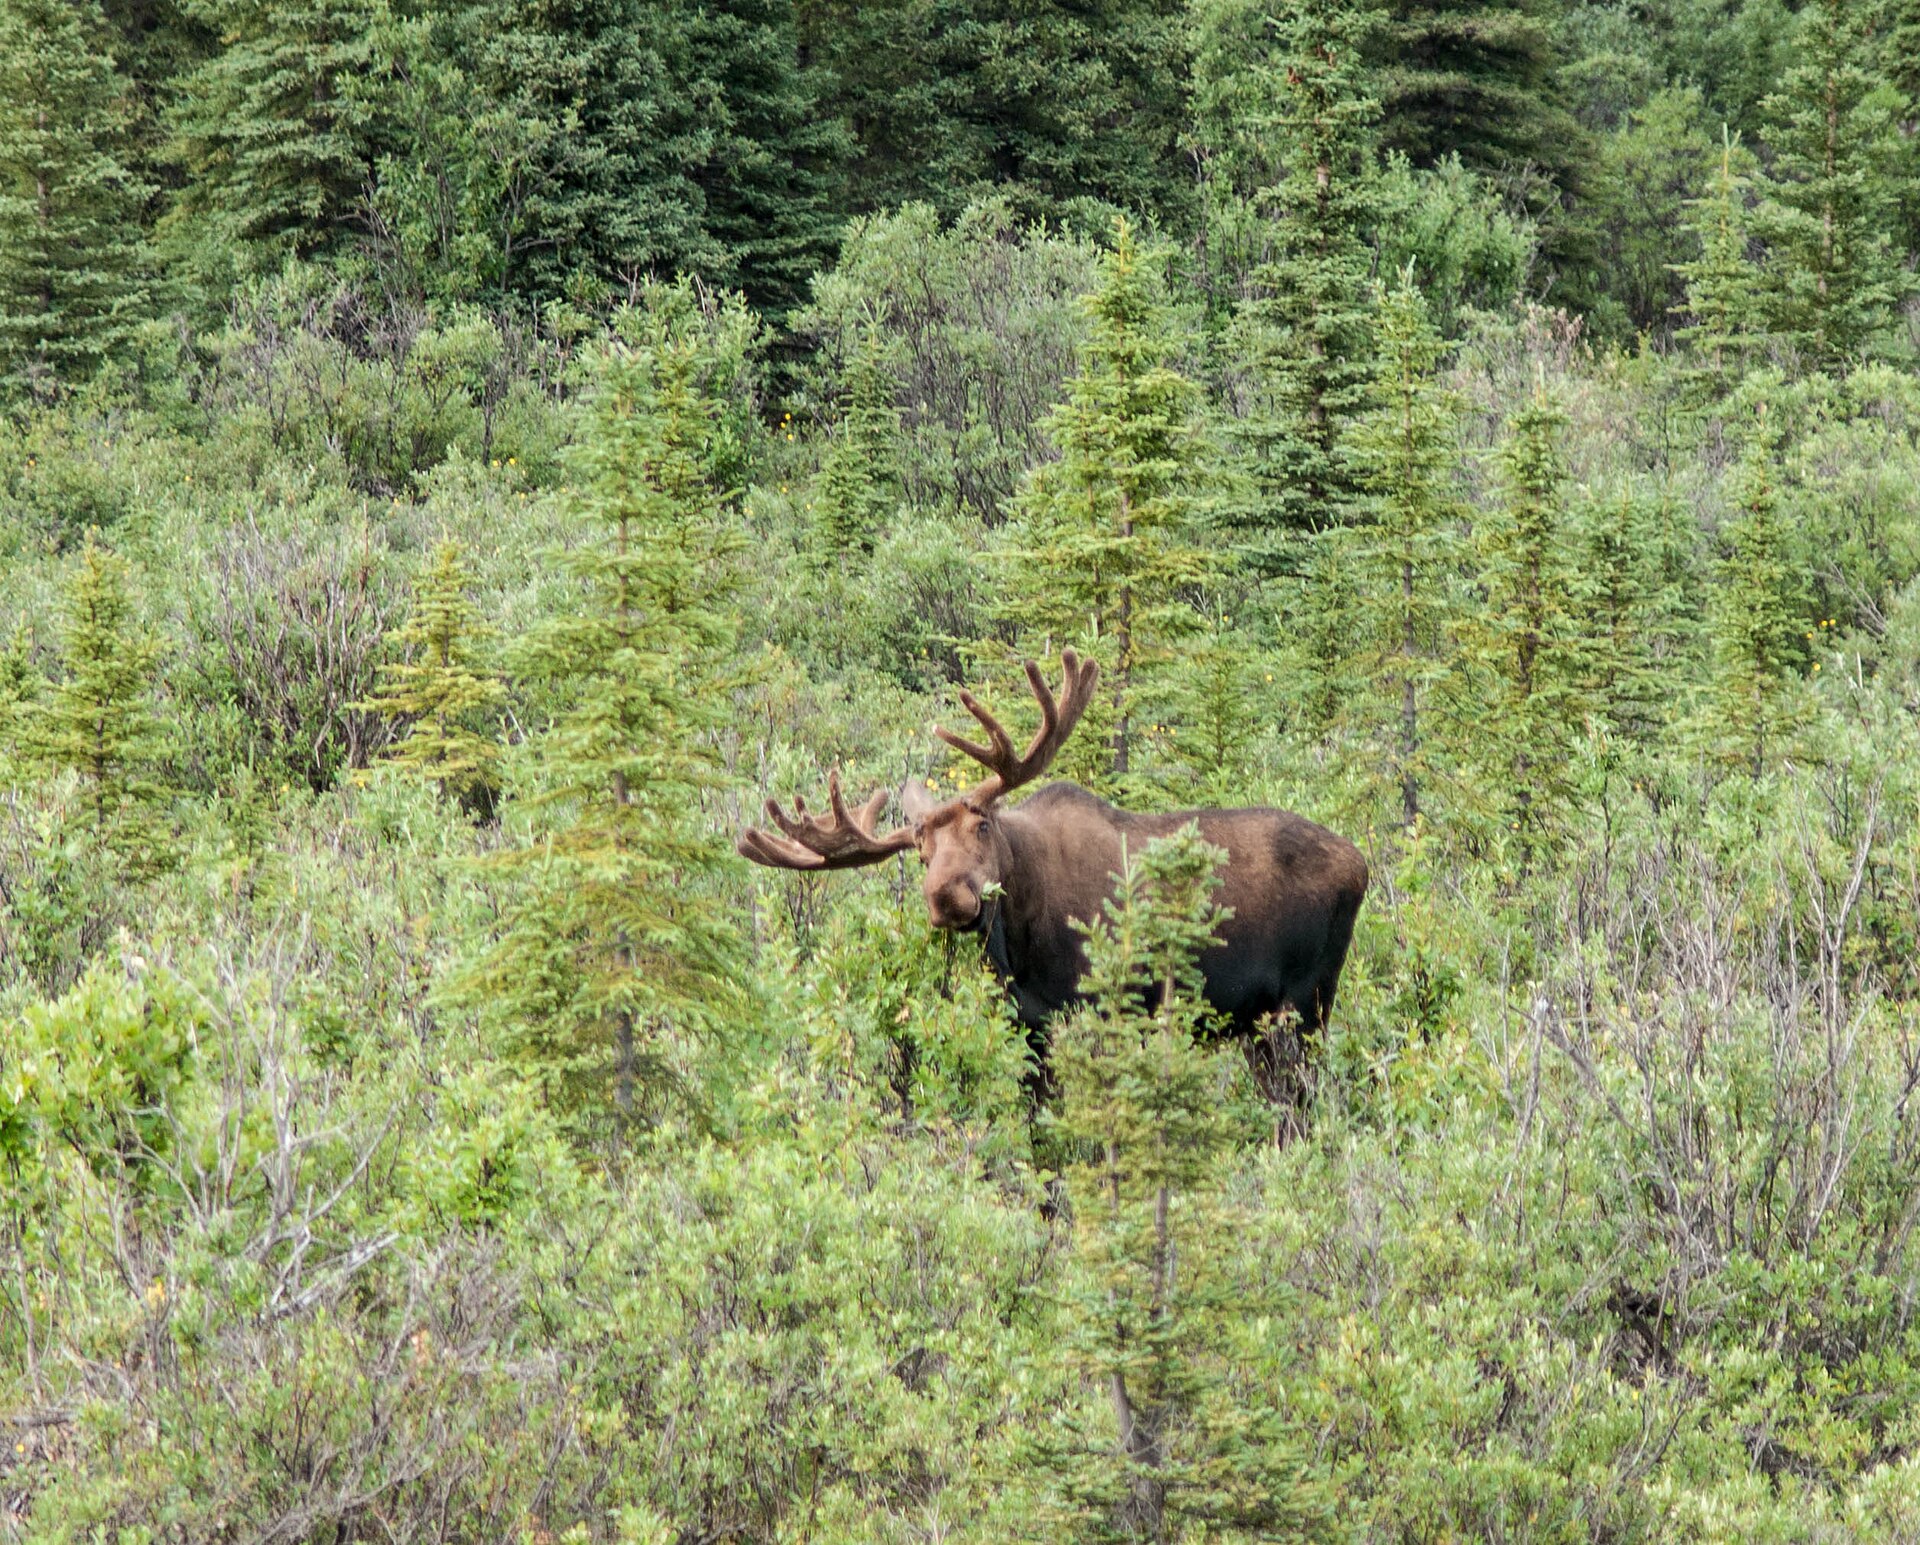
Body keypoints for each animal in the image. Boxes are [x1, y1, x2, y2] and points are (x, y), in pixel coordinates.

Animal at [736, 651, 1369, 1094]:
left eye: (982, 825)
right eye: (920, 851)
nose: (946, 897)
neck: (1021, 940)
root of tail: (1360, 863)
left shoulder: (1108, 1009)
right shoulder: (1029, 1024)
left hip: (1305, 1002)